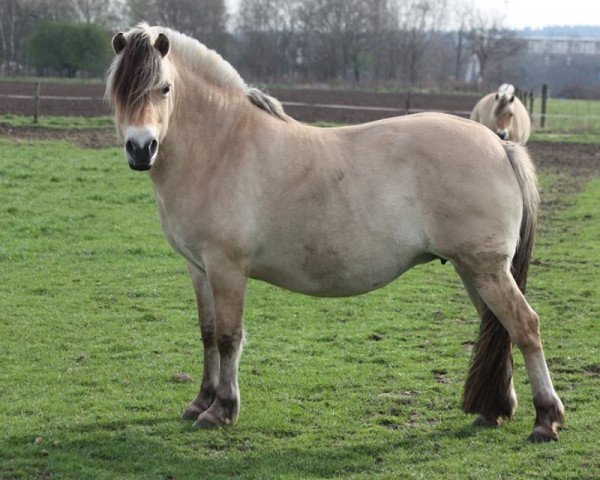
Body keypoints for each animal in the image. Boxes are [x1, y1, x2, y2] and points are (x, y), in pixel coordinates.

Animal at [106, 24, 564, 440]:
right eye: (117, 90)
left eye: (164, 88)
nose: (141, 149)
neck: (222, 147)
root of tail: (500, 145)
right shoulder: (198, 268)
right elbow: (206, 333)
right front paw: (200, 401)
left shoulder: (226, 268)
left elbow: (228, 336)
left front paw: (221, 410)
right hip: (472, 269)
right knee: (497, 325)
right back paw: (494, 410)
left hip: (486, 269)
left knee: (524, 326)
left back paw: (546, 419)